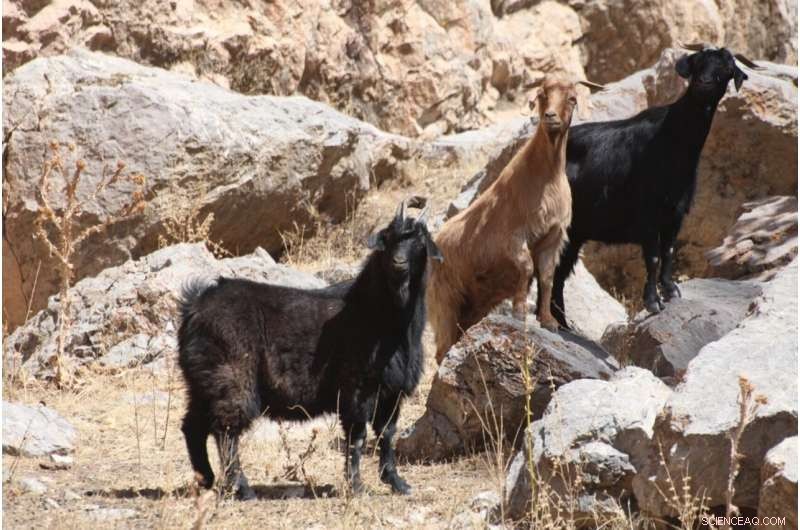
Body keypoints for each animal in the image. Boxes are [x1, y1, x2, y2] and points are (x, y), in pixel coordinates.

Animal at [177, 197, 442, 500]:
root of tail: (195, 305)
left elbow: (387, 434)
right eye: (387, 238)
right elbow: (357, 437)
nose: (398, 264)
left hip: (202, 383)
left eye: (420, 241)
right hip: (231, 380)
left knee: (193, 426)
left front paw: (397, 483)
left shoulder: (391, 392)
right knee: (226, 431)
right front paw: (356, 486)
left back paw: (206, 479)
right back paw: (243, 488)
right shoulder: (356, 388)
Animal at [428, 76, 583, 363]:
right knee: (441, 349)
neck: (546, 177)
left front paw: (548, 321)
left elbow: (546, 276)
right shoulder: (512, 238)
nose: (550, 117)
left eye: (572, 98)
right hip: (445, 302)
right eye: (542, 95)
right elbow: (526, 268)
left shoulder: (552, 238)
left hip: (471, 308)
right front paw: (519, 312)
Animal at [550, 45, 758, 327]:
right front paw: (652, 302)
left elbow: (668, 252)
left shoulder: (675, 215)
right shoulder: (648, 215)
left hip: (575, 232)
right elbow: (653, 257)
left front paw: (670, 290)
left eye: (726, 69)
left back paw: (561, 323)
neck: (672, 144)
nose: (703, 83)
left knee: (558, 272)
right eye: (698, 64)